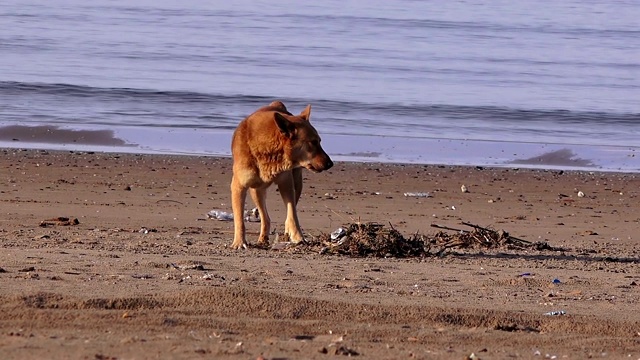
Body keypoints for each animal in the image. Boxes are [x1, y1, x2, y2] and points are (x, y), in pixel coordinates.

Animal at [231, 100, 336, 249]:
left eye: (319, 141)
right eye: (313, 142)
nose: (330, 164)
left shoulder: (286, 182)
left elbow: (292, 213)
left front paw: (298, 237)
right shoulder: (238, 187)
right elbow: (239, 218)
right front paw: (239, 242)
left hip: (296, 182)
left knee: (287, 212)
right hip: (256, 191)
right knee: (265, 217)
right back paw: (263, 238)